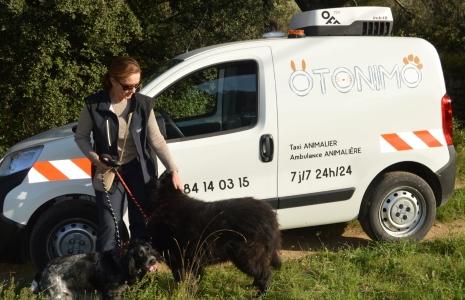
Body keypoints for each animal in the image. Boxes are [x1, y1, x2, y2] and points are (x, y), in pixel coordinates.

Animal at [30, 239, 159, 300]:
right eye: (140, 253)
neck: (120, 262)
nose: (153, 260)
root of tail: (44, 269)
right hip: (57, 295)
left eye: (148, 249)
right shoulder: (111, 294)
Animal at [147, 172, 280, 294]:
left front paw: (184, 293)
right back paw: (252, 288)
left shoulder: (179, 259)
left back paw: (260, 294)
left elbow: (184, 279)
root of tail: (269, 214)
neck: (167, 201)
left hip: (246, 255)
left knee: (264, 274)